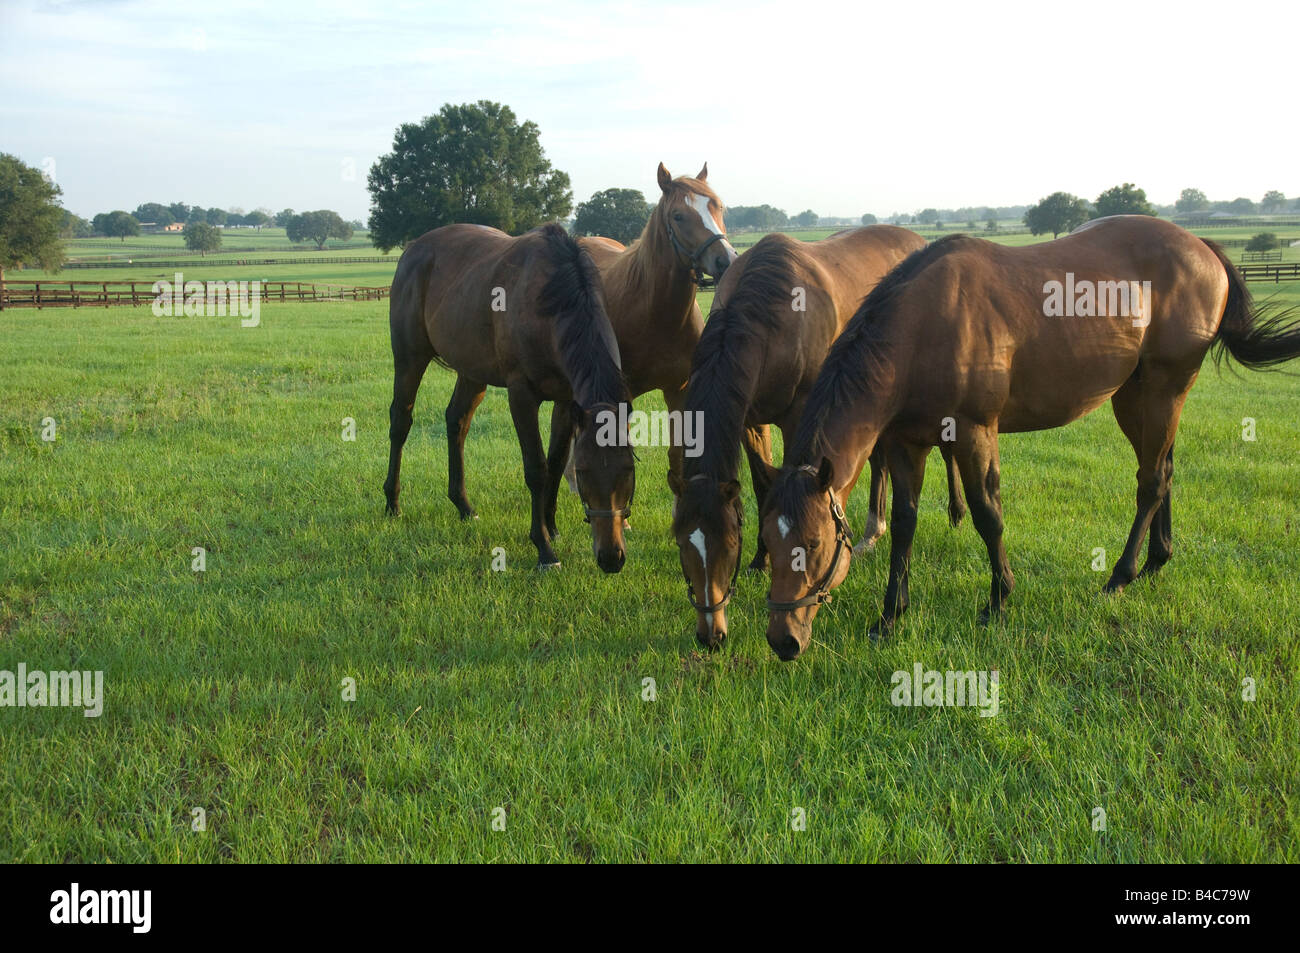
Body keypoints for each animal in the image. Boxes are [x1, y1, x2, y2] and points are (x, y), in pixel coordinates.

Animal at [383, 223, 635, 572]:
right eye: (583, 472)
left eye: (629, 471)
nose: (611, 557)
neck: (550, 300)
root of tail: (413, 248)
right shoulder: (521, 395)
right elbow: (537, 469)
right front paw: (544, 548)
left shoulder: (566, 400)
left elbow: (556, 461)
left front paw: (551, 526)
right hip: (410, 358)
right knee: (401, 422)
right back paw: (392, 502)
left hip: (472, 372)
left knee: (457, 422)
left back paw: (463, 505)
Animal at [552, 163, 738, 518]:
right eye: (679, 216)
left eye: (718, 206)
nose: (726, 261)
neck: (655, 311)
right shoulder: (621, 394)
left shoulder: (678, 390)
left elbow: (677, 454)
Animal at [667, 226, 967, 650]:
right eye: (682, 544)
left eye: (729, 544)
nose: (712, 634)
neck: (774, 314)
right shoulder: (751, 421)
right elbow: (763, 485)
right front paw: (762, 559)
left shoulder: (800, 416)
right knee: (879, 463)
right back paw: (873, 531)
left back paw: (953, 511)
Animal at [760, 215, 1300, 660]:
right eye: (766, 541)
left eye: (814, 543)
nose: (783, 641)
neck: (923, 326)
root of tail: (1203, 248)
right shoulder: (906, 443)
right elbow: (905, 523)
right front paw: (890, 617)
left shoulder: (974, 431)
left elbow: (987, 515)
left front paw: (998, 601)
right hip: (1135, 396)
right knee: (1162, 469)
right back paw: (1155, 562)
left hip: (1165, 388)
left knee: (1150, 482)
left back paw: (1120, 577)